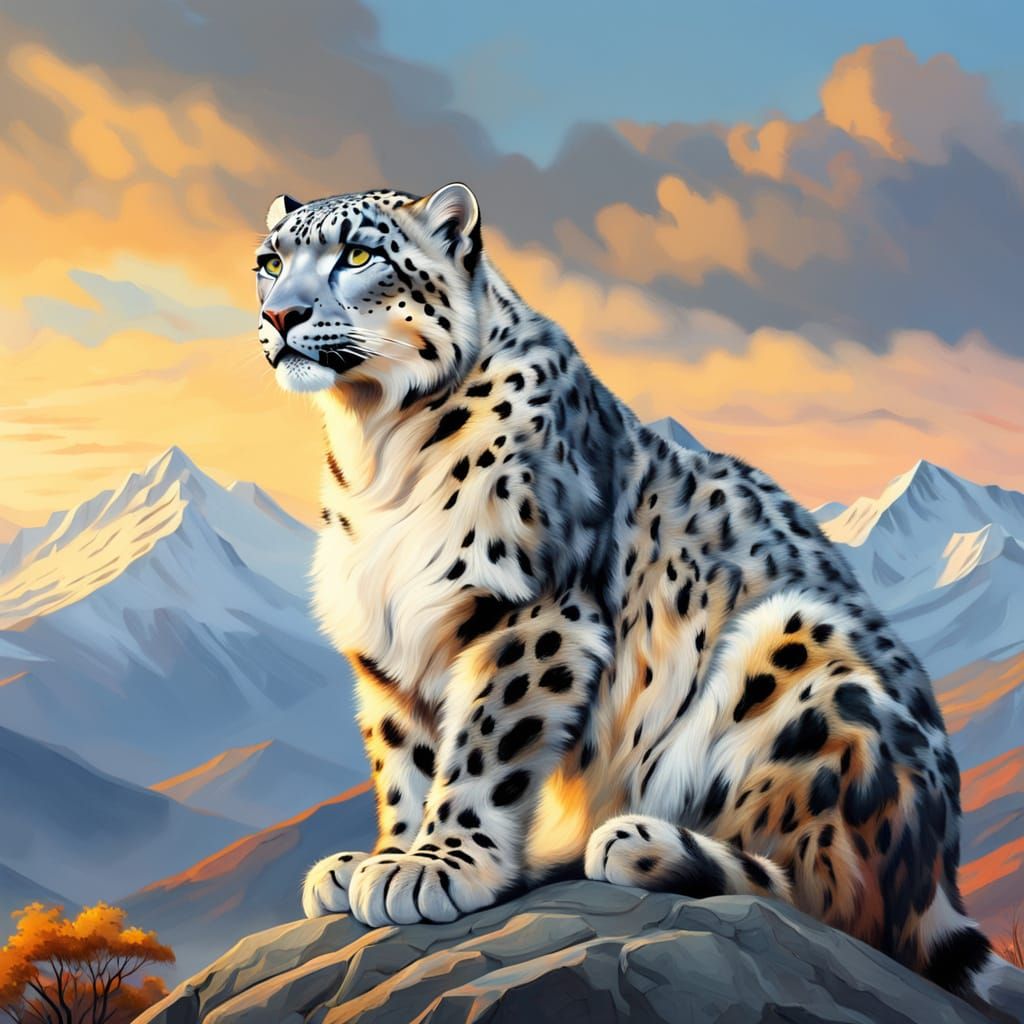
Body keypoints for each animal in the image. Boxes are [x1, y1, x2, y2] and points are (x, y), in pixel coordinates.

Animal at [253, 182, 996, 1001]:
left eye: (359, 255)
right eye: (271, 262)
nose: (280, 316)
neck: (376, 444)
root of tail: (940, 865)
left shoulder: (530, 613)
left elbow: (481, 749)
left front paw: (437, 865)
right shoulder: (387, 646)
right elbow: (403, 761)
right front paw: (384, 857)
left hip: (806, 653)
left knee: (837, 900)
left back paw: (639, 843)